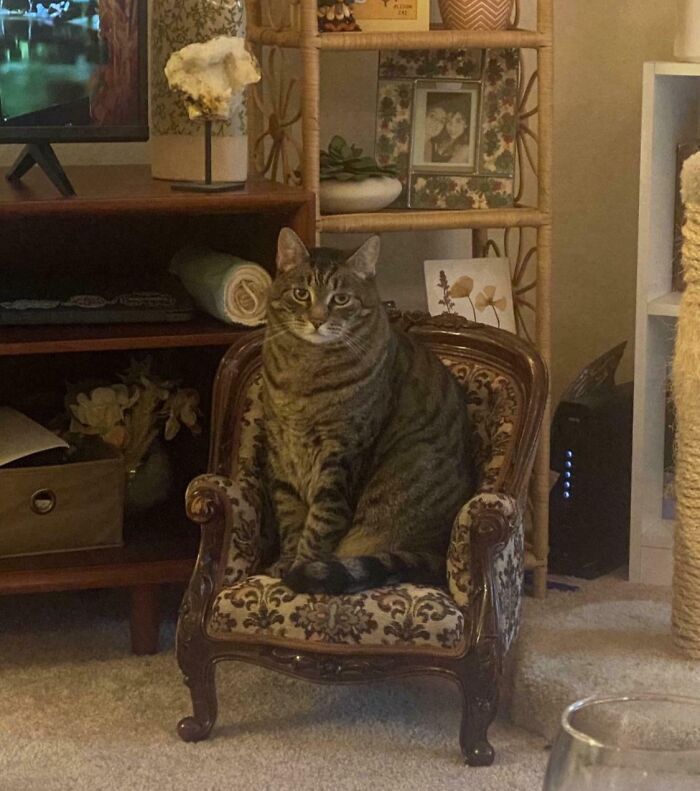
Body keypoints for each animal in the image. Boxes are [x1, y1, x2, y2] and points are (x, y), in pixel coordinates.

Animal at [262, 229, 476, 592]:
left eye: (340, 299)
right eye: (301, 294)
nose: (317, 320)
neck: (304, 371)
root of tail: (437, 551)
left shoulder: (341, 456)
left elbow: (319, 523)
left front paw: (301, 568)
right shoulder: (281, 454)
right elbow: (291, 518)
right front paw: (285, 563)